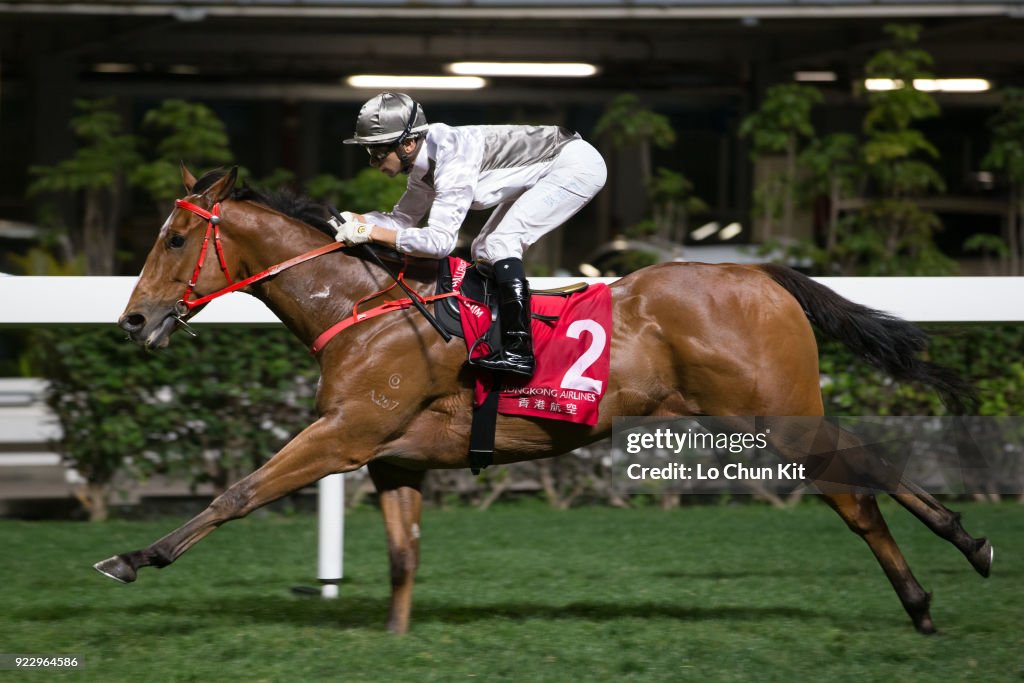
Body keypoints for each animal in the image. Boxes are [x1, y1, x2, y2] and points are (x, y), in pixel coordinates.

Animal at [94, 165, 991, 634]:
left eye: (176, 237)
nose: (132, 319)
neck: (365, 306)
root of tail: (762, 273)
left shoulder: (344, 431)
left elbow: (238, 492)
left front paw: (133, 557)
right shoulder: (392, 457)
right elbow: (402, 553)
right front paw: (393, 638)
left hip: (772, 414)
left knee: (857, 486)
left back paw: (942, 575)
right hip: (778, 413)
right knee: (863, 474)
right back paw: (948, 567)